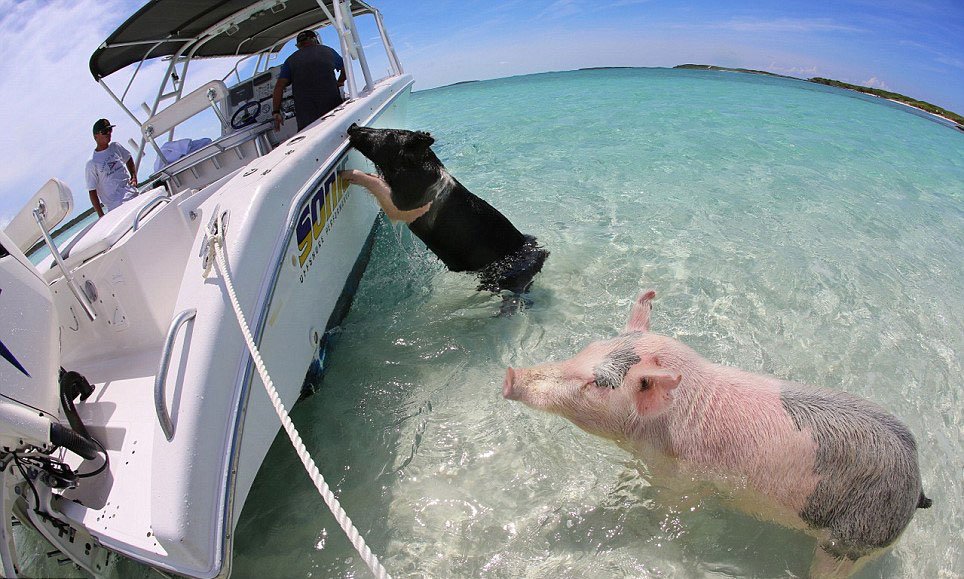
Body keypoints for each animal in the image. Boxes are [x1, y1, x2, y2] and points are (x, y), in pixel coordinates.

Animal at [342, 124, 548, 306]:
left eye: (388, 134)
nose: (353, 126)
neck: (417, 169)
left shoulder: (404, 205)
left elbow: (376, 183)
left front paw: (346, 174)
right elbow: (376, 178)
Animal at [503, 290, 931, 577]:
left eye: (597, 383)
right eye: (588, 348)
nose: (510, 375)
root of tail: (916, 485)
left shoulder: (683, 482)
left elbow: (669, 512)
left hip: (854, 539)